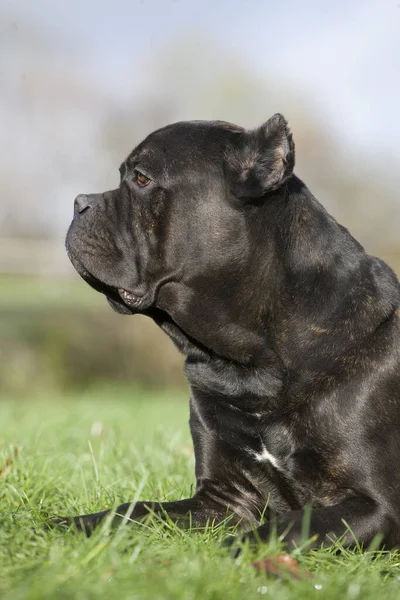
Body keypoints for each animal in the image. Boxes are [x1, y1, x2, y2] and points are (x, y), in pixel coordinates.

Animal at [64, 115, 400, 552]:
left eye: (141, 178)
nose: (78, 202)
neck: (250, 363)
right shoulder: (224, 497)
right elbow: (136, 510)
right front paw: (65, 525)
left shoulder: (375, 506)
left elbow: (286, 528)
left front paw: (230, 554)